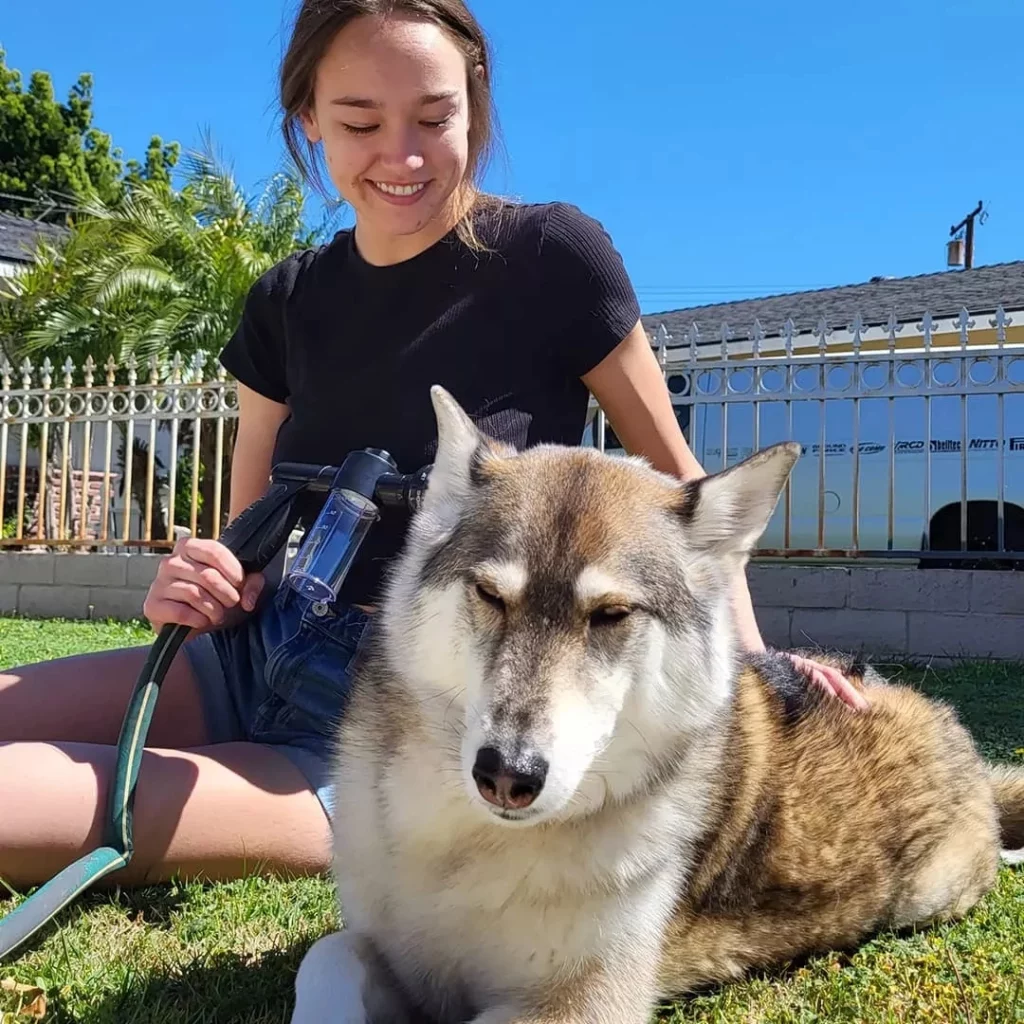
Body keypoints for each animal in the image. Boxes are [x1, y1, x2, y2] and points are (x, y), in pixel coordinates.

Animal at [290, 385, 1024, 1024]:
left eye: (611, 614)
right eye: (492, 596)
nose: (507, 775)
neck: (470, 849)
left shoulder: (582, 1003)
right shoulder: (384, 948)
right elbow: (327, 957)